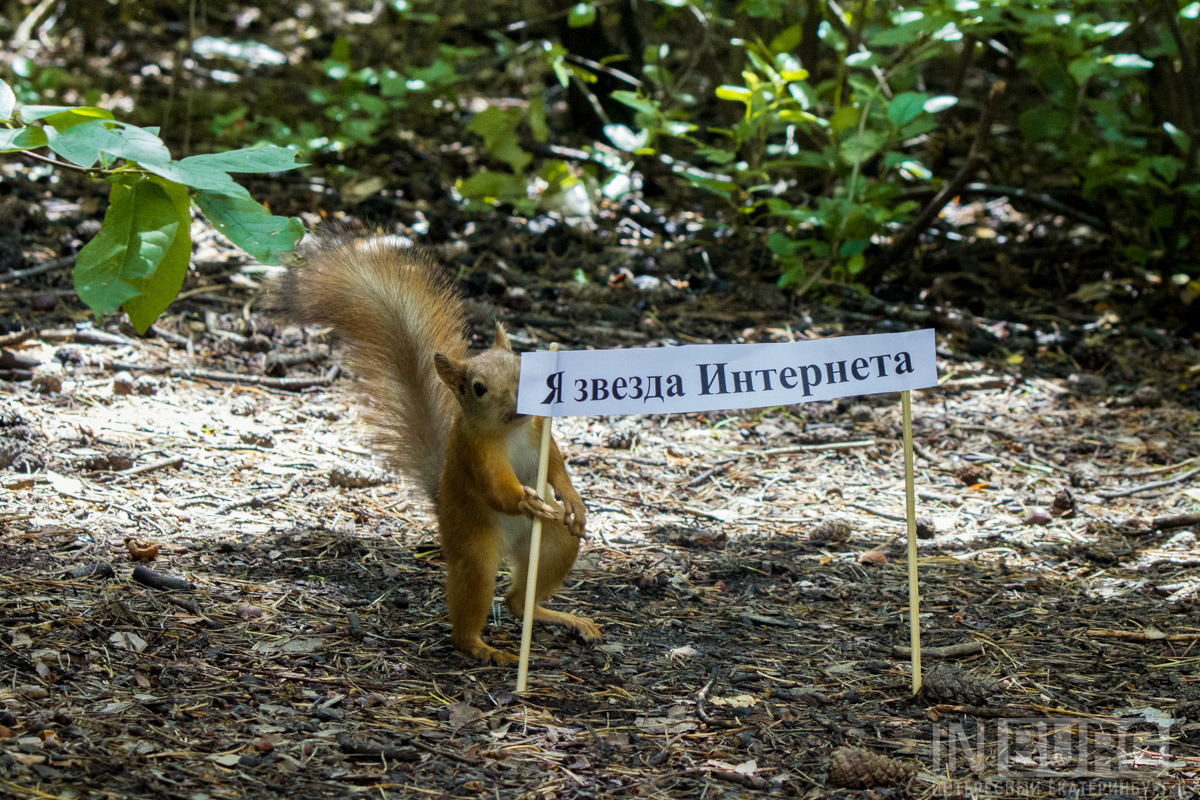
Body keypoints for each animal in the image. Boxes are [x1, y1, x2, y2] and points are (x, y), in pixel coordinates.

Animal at [278, 235, 600, 666]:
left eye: (524, 368)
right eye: (479, 388)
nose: (520, 401)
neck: (511, 430)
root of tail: (441, 504)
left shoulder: (540, 432)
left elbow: (556, 468)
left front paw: (573, 500)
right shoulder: (474, 452)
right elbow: (497, 489)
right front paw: (525, 500)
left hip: (554, 545)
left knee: (519, 601)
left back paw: (562, 617)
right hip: (473, 547)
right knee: (474, 599)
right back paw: (482, 647)